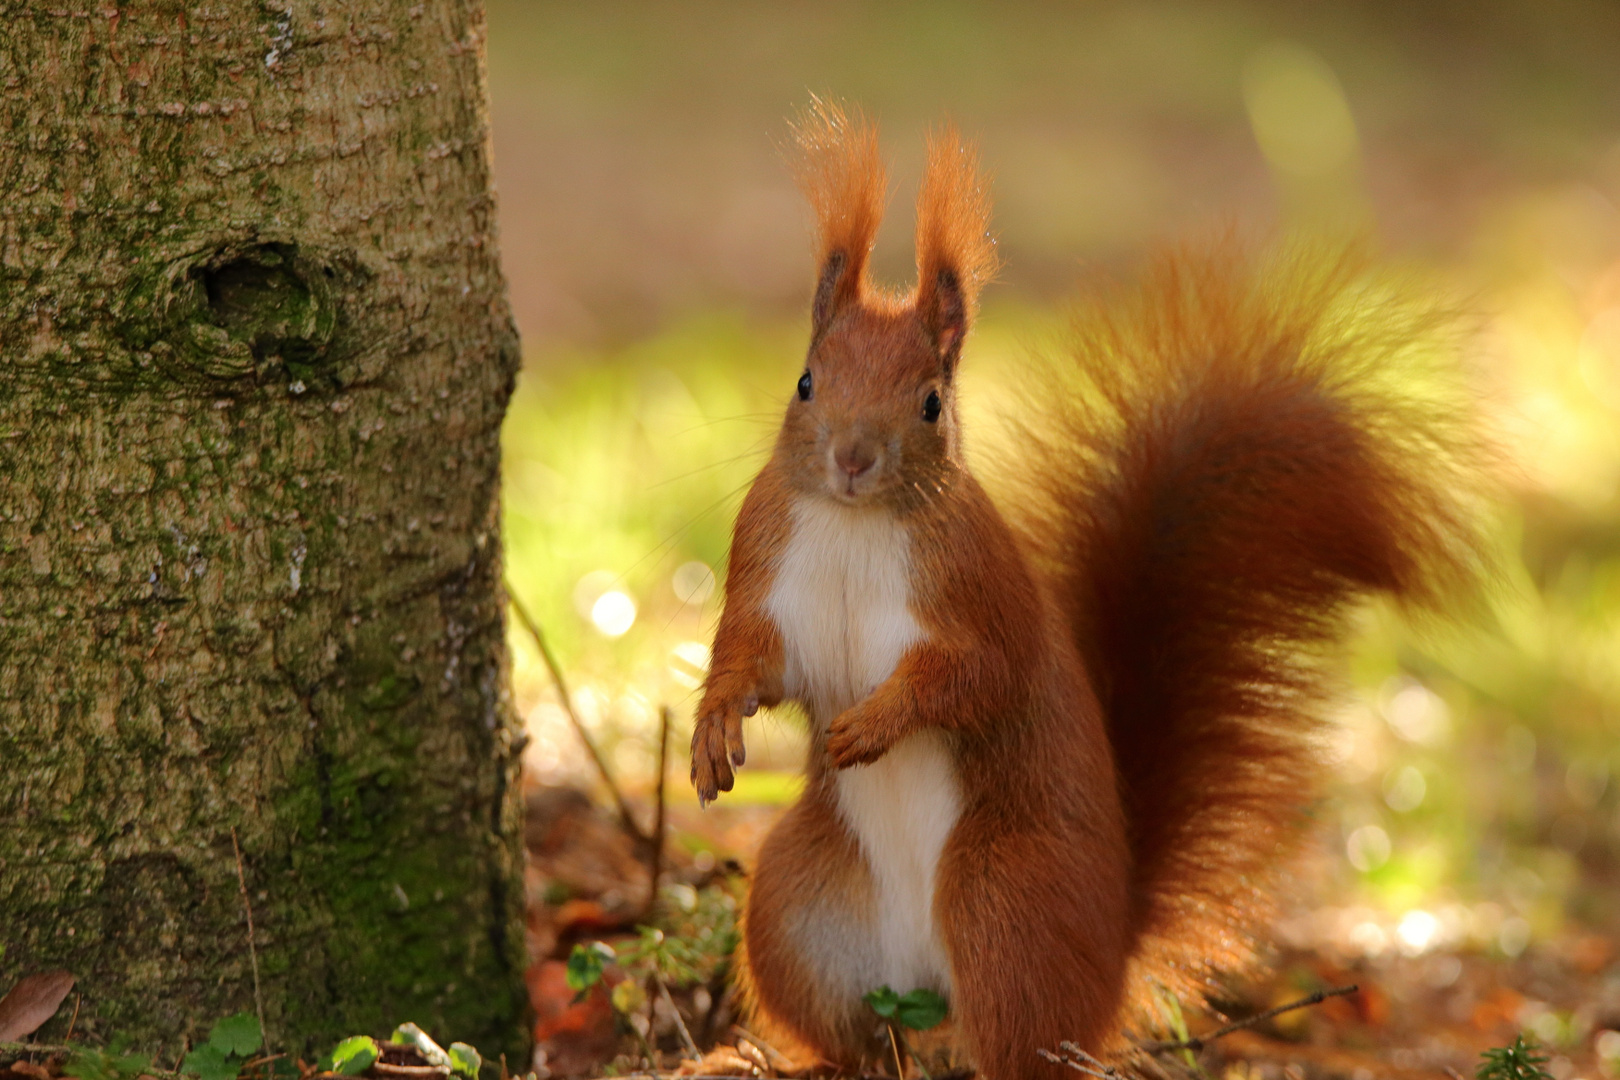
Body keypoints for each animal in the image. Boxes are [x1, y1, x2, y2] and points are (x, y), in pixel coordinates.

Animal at [683, 97, 1483, 1075]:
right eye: (805, 382)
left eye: (930, 403)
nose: (852, 458)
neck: (852, 525)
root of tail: (1110, 956)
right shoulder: (768, 568)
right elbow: (748, 659)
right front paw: (712, 734)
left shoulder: (981, 597)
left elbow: (975, 677)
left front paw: (875, 721)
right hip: (798, 906)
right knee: (860, 1039)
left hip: (1006, 903)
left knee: (1021, 1039)